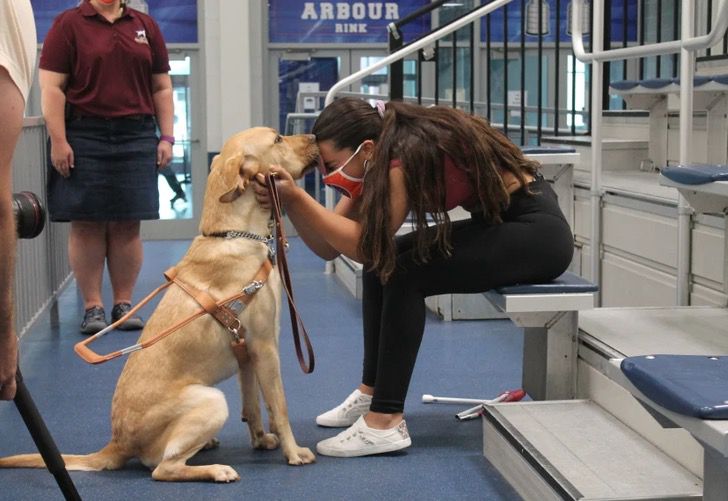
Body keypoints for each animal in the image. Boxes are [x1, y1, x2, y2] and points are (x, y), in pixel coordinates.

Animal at [0, 127, 318, 482]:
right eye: (277, 139)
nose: (315, 136)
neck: (233, 234)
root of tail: (117, 442)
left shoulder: (247, 354)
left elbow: (253, 405)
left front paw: (261, 440)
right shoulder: (265, 347)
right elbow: (279, 405)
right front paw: (294, 452)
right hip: (211, 400)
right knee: (163, 469)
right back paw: (216, 470)